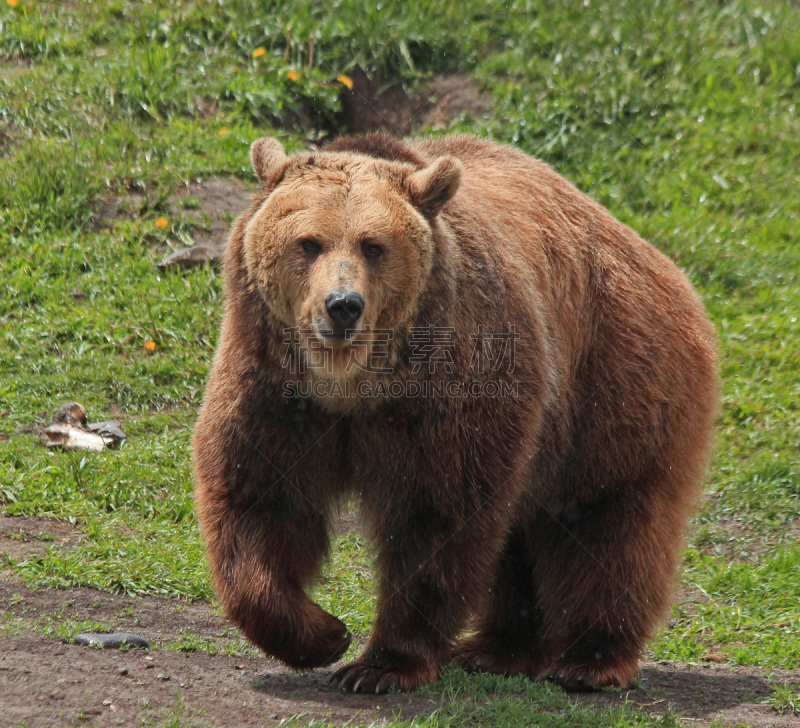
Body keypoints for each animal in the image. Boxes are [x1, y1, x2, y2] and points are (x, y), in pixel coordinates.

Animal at [194, 131, 720, 692]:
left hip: (613, 379)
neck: (352, 385)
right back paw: (498, 648)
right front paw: (322, 634)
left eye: (373, 246)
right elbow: (258, 498)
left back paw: (588, 659)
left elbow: (437, 513)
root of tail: (653, 255)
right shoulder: (276, 389)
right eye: (309, 242)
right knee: (522, 532)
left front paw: (380, 664)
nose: (343, 305)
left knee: (608, 520)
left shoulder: (451, 388)